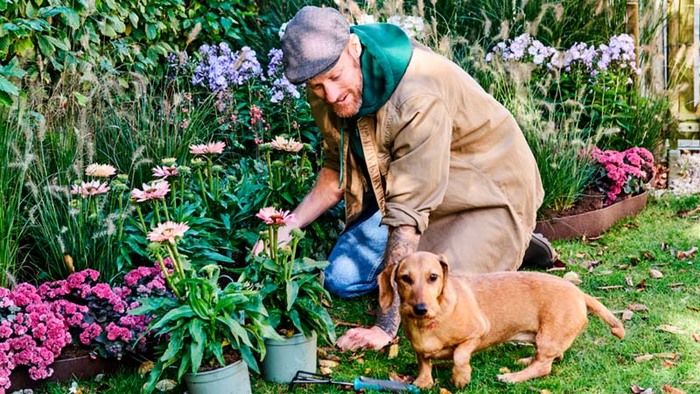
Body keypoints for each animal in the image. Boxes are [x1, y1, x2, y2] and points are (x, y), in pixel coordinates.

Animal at [380, 251, 628, 386]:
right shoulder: (420, 349)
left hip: (548, 338)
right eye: (405, 278)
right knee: (550, 357)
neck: (428, 323)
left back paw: (513, 377)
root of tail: (580, 293)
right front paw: (423, 381)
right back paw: (526, 361)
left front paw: (461, 377)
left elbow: (460, 355)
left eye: (433, 277)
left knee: (544, 367)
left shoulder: (477, 333)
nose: (420, 308)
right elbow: (424, 361)